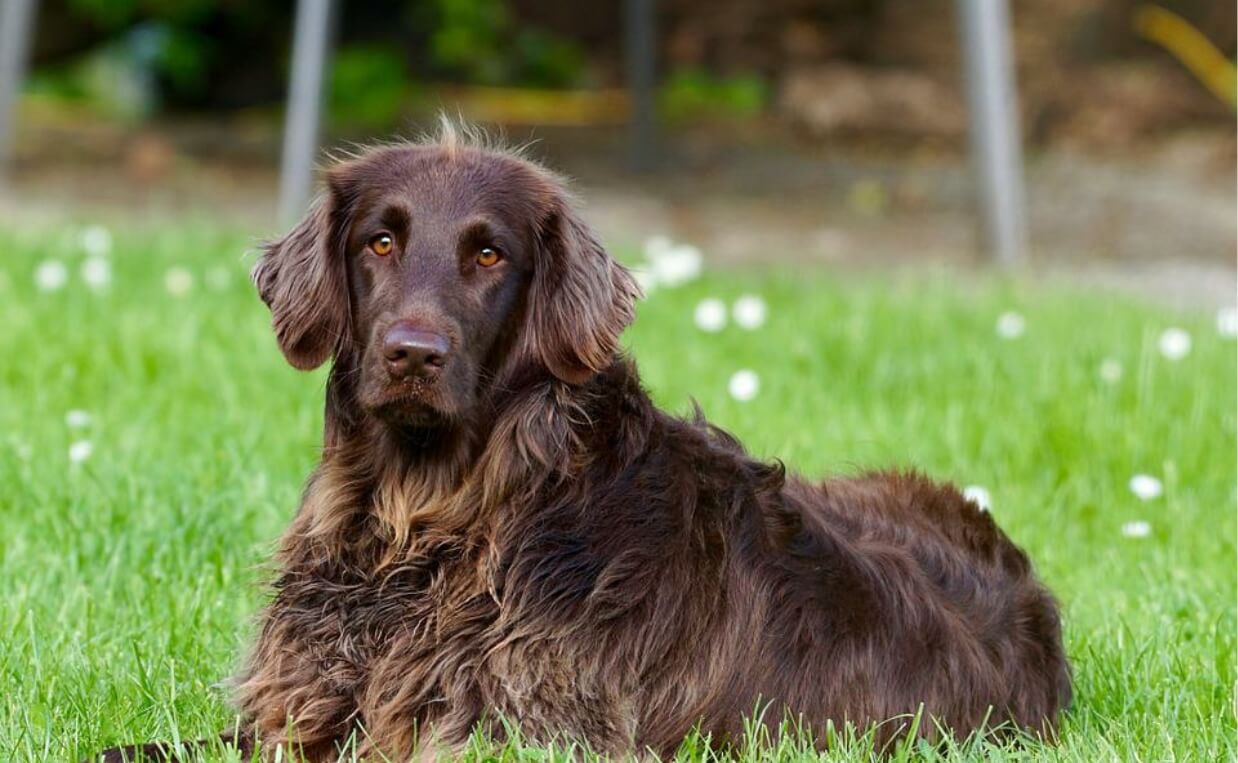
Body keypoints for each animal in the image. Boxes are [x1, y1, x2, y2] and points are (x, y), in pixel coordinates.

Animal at [99, 123, 1064, 758]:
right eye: (379, 240)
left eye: (490, 255)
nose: (413, 353)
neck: (434, 522)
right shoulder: (296, 710)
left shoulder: (511, 734)